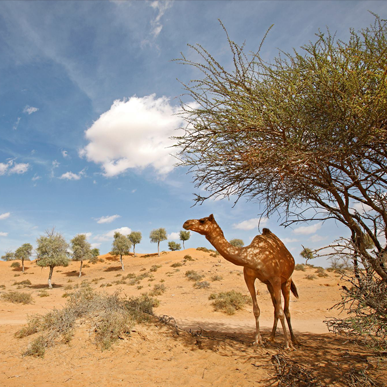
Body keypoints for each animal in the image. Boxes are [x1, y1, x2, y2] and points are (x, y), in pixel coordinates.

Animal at [183, 214, 298, 350]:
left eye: (202, 220)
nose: (186, 223)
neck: (255, 257)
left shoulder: (275, 278)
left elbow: (281, 312)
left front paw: (287, 345)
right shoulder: (249, 278)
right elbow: (256, 310)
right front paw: (257, 341)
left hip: (286, 280)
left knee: (286, 310)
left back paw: (293, 340)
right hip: (269, 285)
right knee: (275, 308)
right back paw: (271, 338)